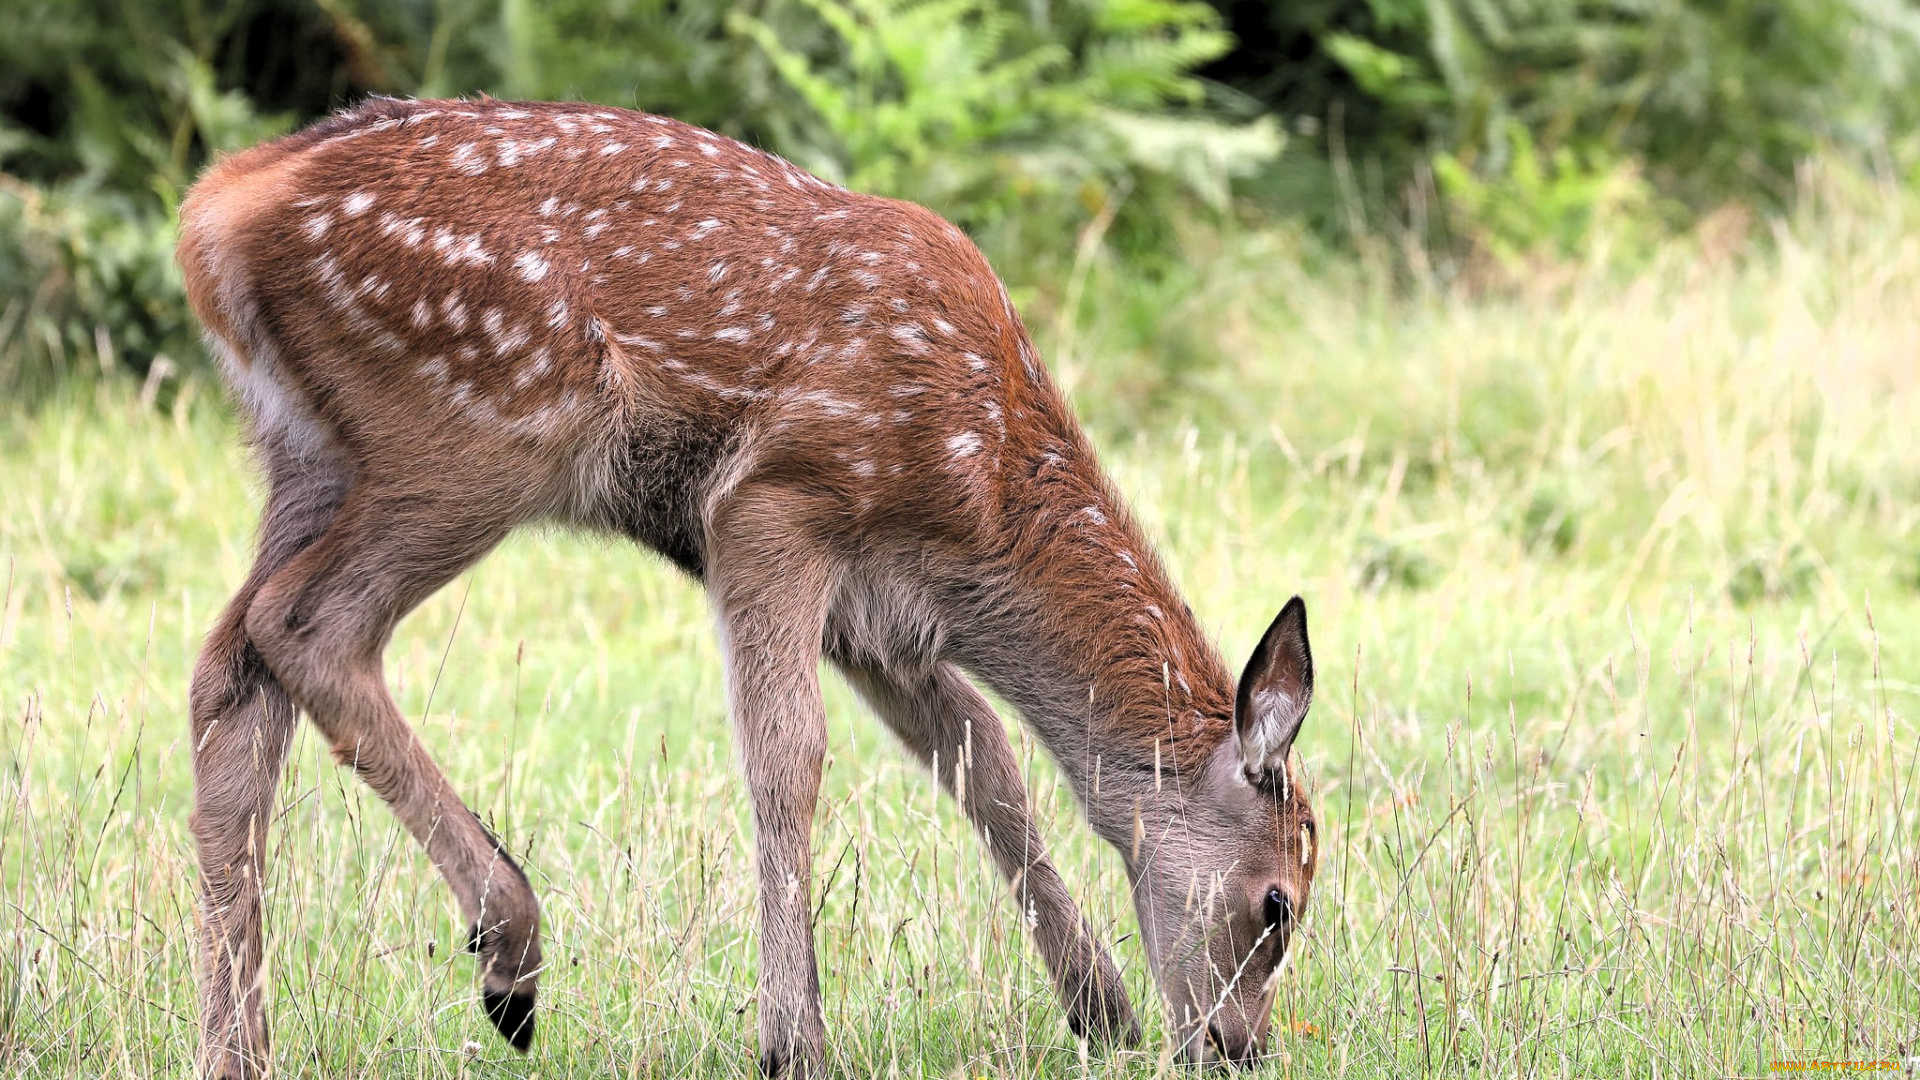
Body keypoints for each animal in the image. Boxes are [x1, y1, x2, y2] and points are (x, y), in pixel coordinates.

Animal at [180, 96, 1320, 1068]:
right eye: (1278, 903)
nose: (1239, 1046)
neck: (984, 506)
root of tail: (216, 213)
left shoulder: (882, 614)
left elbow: (983, 760)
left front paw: (1099, 1008)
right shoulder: (777, 501)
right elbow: (788, 755)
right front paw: (794, 1041)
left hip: (306, 453)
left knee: (230, 675)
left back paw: (240, 1050)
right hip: (475, 429)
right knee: (306, 627)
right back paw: (510, 951)